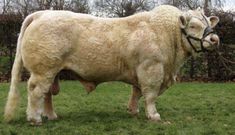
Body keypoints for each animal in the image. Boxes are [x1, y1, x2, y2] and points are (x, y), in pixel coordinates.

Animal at [4, 5, 219, 125]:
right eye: (194, 26)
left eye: (210, 24)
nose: (215, 39)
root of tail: (41, 14)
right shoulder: (152, 69)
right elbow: (150, 95)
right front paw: (154, 115)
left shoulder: (140, 70)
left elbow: (136, 92)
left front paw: (133, 111)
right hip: (43, 69)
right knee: (36, 91)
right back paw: (35, 119)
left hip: (52, 71)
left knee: (47, 93)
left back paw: (51, 116)